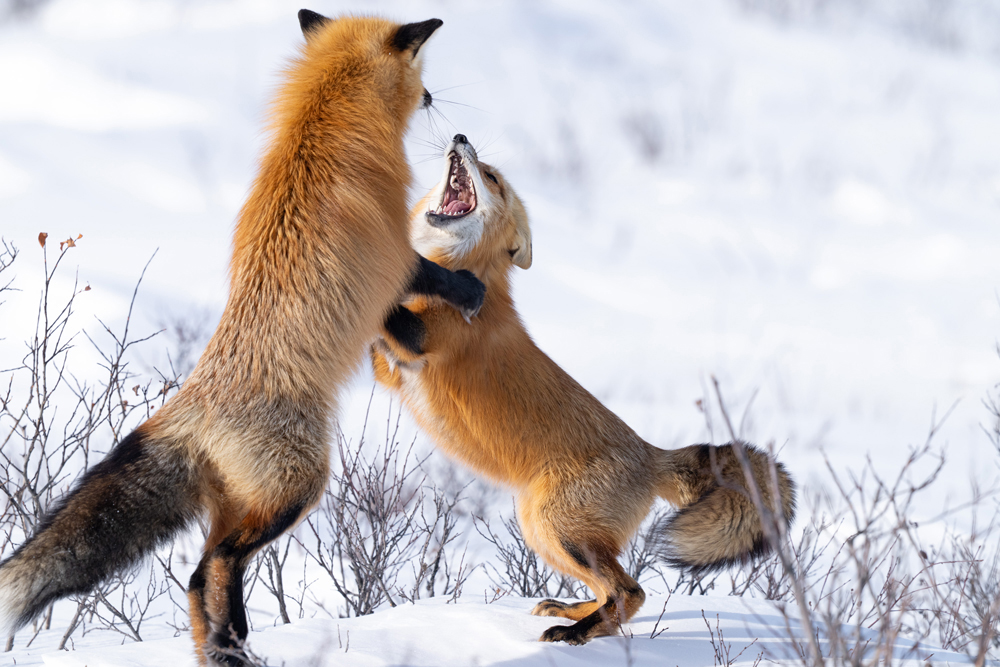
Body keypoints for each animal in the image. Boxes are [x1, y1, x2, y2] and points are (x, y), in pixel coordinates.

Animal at [0, 12, 486, 666]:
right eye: (423, 75)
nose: (436, 100)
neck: (327, 127)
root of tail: (195, 408)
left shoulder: (376, 283)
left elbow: (394, 323)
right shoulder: (393, 255)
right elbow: (431, 281)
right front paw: (466, 293)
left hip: (239, 502)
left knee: (196, 578)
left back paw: (224, 652)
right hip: (298, 486)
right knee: (217, 565)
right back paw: (235, 648)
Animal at [372, 134, 797, 645]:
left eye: (491, 178)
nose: (461, 137)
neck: (462, 267)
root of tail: (651, 454)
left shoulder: (424, 341)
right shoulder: (392, 370)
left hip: (560, 528)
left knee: (632, 591)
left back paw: (575, 632)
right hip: (541, 531)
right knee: (611, 593)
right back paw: (575, 614)